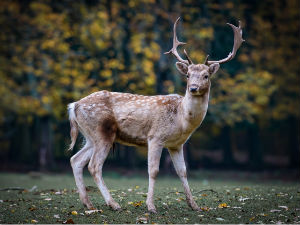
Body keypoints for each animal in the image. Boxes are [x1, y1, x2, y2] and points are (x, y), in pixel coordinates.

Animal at [68, 17, 244, 213]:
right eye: (188, 75)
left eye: (206, 75)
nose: (193, 88)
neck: (181, 119)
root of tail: (74, 105)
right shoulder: (155, 137)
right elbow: (153, 171)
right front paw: (151, 206)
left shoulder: (176, 145)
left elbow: (182, 171)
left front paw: (194, 205)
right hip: (102, 132)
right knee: (94, 166)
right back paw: (113, 204)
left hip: (90, 136)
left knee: (76, 160)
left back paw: (88, 204)